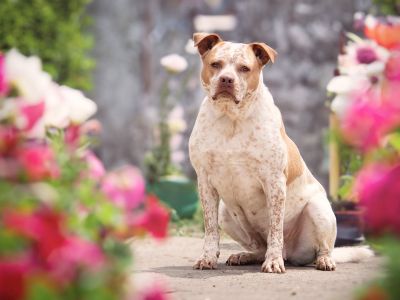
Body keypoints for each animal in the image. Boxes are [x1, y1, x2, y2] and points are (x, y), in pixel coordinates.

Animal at [189, 33, 374, 274]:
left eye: (244, 68)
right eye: (215, 64)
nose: (226, 80)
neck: (231, 117)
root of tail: (292, 254)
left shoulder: (274, 181)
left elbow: (275, 229)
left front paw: (274, 261)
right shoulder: (205, 181)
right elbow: (210, 229)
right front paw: (208, 258)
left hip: (319, 209)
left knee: (323, 248)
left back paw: (322, 260)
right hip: (226, 213)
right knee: (258, 246)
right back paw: (245, 256)